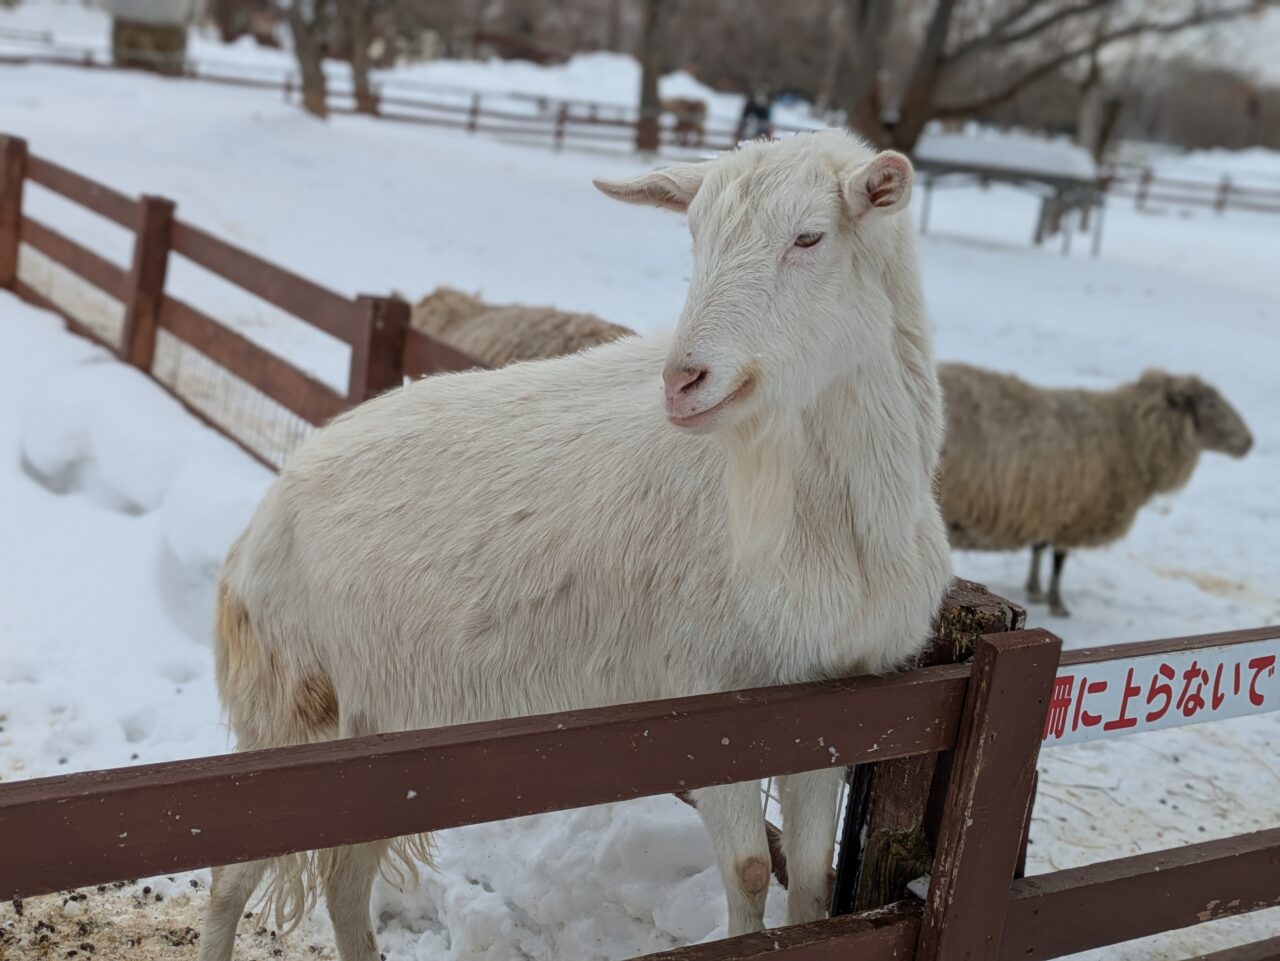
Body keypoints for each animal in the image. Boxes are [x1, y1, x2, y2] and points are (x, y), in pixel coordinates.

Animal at [942, 363, 1249, 619]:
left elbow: (1040, 547)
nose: (1249, 442)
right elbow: (1058, 560)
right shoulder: (1074, 513)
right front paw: (1057, 603)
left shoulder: (1050, 507)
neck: (1127, 435)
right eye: (1211, 403)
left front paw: (1035, 589)